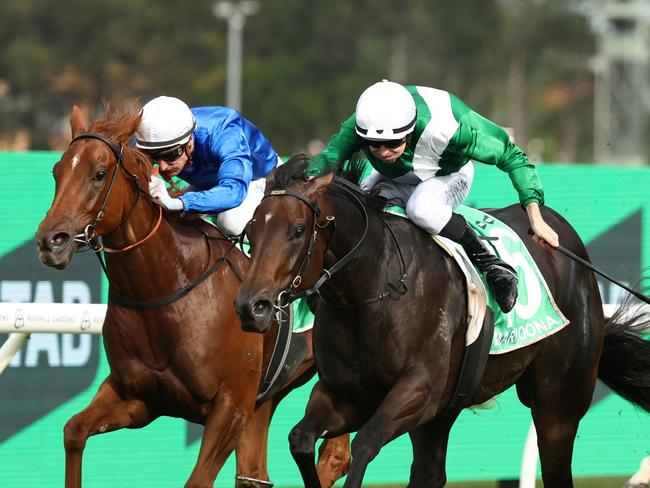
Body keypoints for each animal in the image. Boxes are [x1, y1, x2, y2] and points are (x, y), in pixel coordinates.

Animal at [34, 107, 350, 488]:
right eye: (57, 171)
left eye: (99, 174)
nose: (51, 241)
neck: (165, 288)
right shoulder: (137, 398)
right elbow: (74, 430)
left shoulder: (231, 406)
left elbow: (197, 480)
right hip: (267, 398)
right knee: (255, 473)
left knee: (335, 456)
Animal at [234, 156, 650, 488]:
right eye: (250, 231)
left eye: (297, 231)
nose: (250, 306)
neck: (374, 288)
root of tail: (565, 238)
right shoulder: (347, 395)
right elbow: (301, 439)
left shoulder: (418, 391)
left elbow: (365, 443)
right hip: (444, 413)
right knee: (429, 473)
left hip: (558, 406)